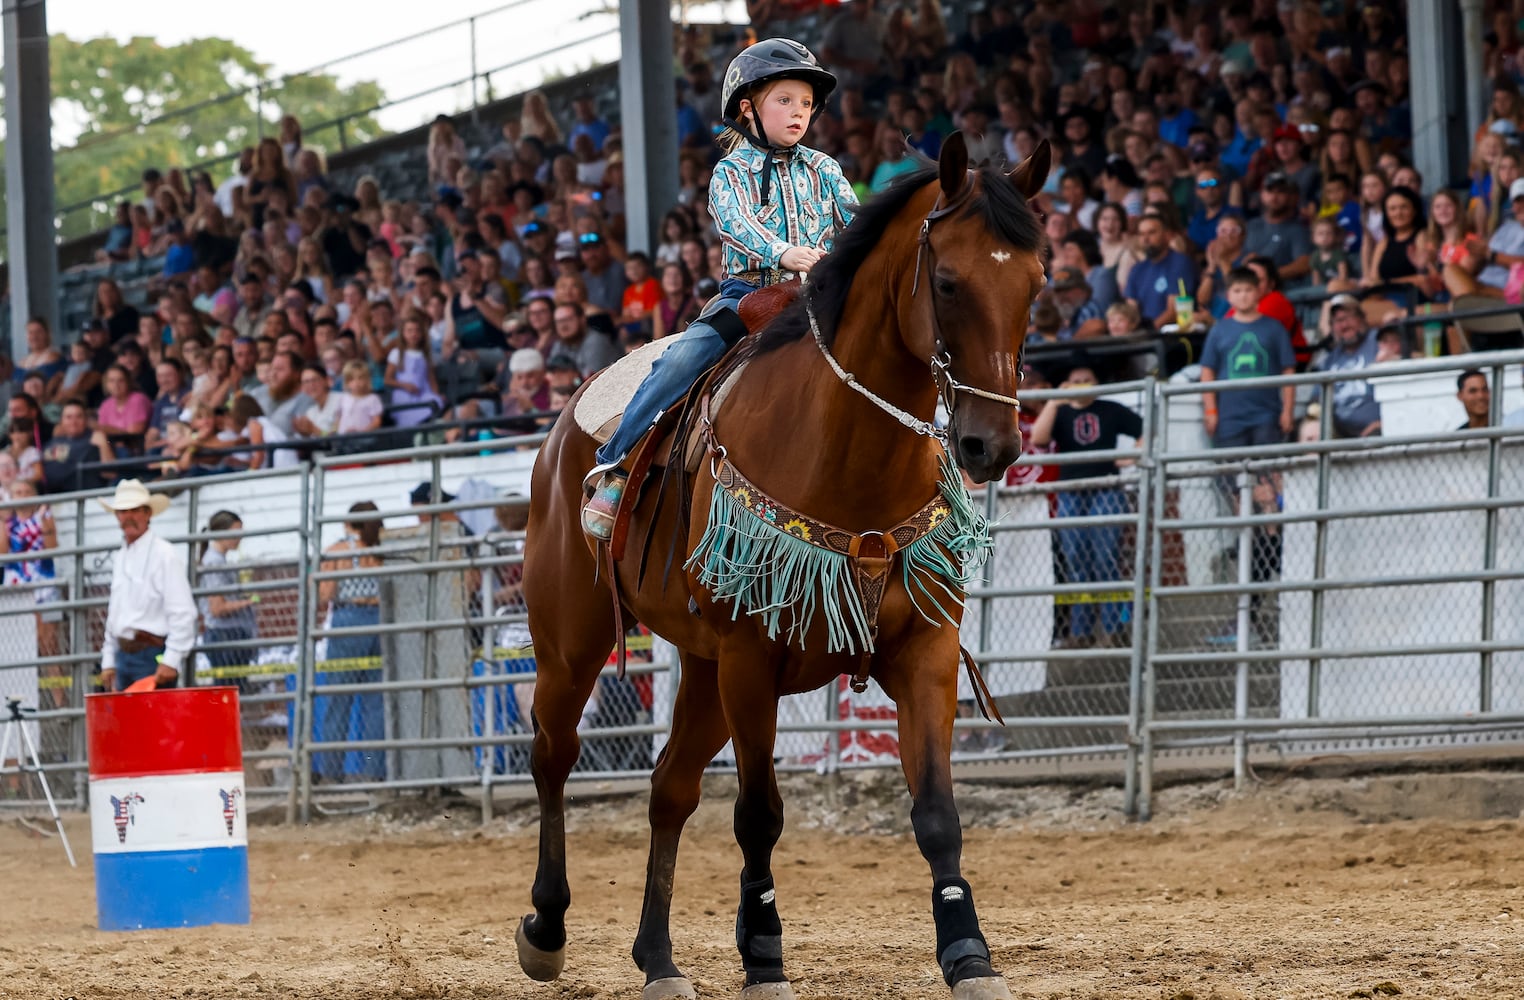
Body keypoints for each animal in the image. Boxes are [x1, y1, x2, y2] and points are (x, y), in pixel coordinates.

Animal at [518, 134, 1054, 1000]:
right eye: (947, 281)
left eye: (1035, 283)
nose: (992, 445)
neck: (848, 459)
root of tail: (566, 425)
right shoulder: (751, 661)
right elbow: (759, 814)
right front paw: (764, 949)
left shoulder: (925, 653)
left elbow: (937, 812)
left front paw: (968, 952)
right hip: (573, 641)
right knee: (554, 755)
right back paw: (546, 926)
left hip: (699, 671)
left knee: (669, 790)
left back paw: (659, 960)